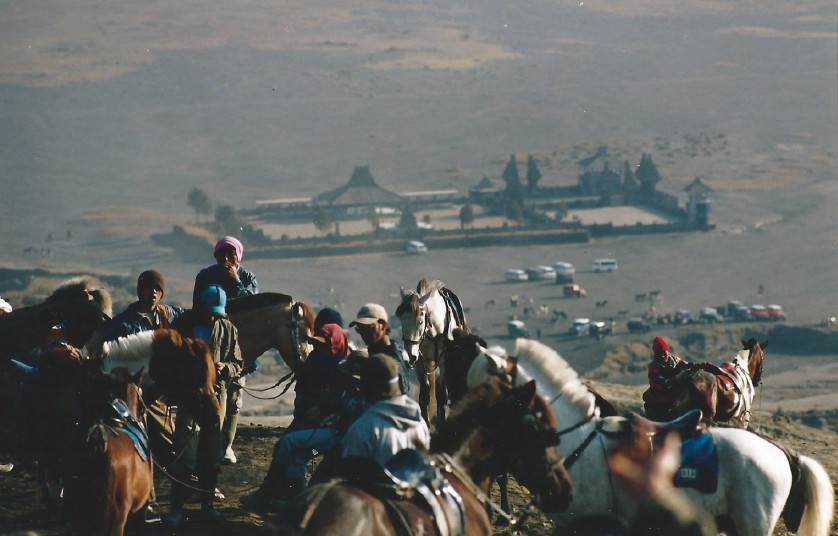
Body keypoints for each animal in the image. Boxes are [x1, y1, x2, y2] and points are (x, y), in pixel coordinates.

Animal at [398, 280, 470, 428]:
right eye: (401, 321)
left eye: (420, 321)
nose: (410, 357)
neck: (435, 331)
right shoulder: (420, 361)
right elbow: (425, 395)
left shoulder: (444, 362)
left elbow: (441, 394)